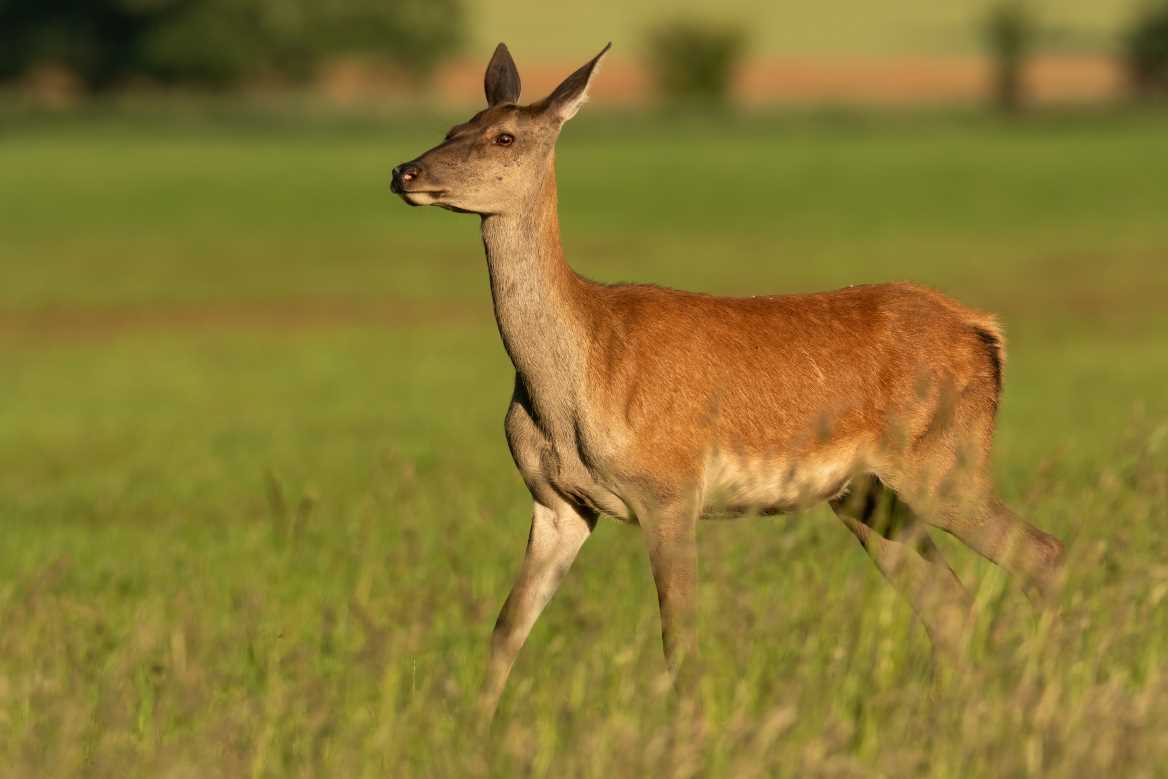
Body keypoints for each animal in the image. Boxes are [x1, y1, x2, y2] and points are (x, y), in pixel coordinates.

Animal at [387, 45, 1065, 724]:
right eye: (453, 126)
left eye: (504, 136)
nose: (404, 172)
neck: (572, 381)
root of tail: (986, 331)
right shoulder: (557, 502)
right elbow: (507, 629)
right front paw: (474, 727)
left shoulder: (670, 487)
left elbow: (679, 638)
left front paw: (688, 732)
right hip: (867, 495)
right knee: (951, 605)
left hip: (942, 461)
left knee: (1042, 555)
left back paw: (1043, 698)